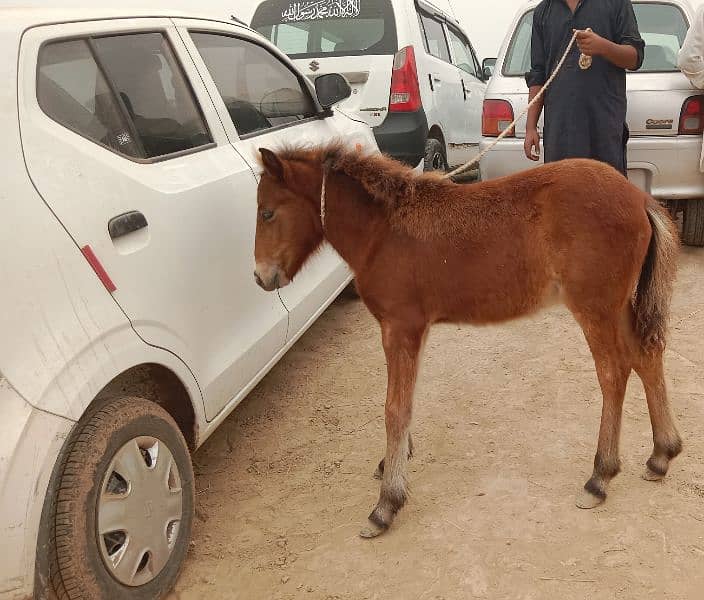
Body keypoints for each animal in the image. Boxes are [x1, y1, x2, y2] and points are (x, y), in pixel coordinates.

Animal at [253, 145, 680, 540]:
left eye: (267, 213)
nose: (260, 277)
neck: (383, 232)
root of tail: (639, 198)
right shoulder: (416, 329)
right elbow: (406, 400)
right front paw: (393, 463)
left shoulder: (400, 326)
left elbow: (394, 409)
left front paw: (386, 504)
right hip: (619, 305)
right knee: (646, 355)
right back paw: (662, 455)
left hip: (595, 307)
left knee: (614, 373)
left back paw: (599, 477)